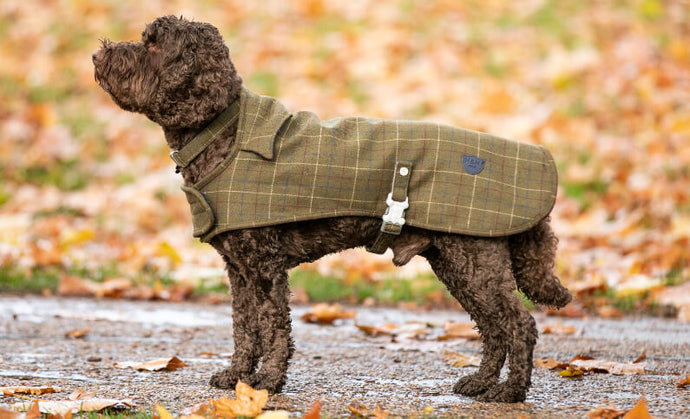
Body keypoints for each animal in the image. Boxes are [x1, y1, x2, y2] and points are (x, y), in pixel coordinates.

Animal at [94, 16, 572, 404]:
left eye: (155, 46)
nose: (99, 53)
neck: (221, 132)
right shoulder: (239, 270)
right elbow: (244, 326)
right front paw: (237, 377)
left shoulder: (264, 267)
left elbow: (273, 327)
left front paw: (267, 383)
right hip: (458, 264)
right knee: (494, 328)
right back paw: (482, 383)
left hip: (476, 261)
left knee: (519, 325)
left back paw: (510, 392)